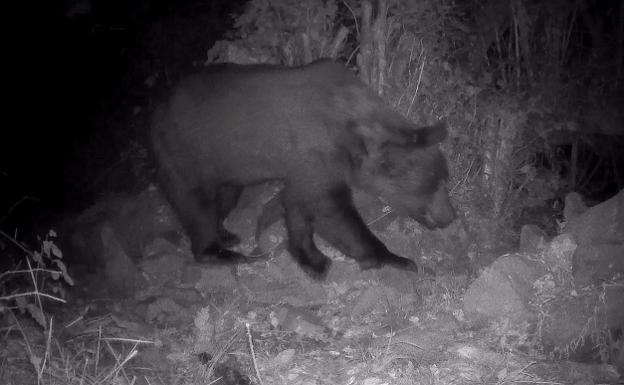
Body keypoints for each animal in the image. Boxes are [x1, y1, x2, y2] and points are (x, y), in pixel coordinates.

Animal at [150, 58, 454, 280]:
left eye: (445, 179)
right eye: (437, 183)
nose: (451, 216)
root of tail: (155, 111)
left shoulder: (305, 167)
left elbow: (298, 205)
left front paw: (311, 259)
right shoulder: (316, 150)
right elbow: (330, 209)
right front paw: (395, 259)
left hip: (224, 166)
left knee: (224, 197)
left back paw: (226, 233)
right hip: (182, 153)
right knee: (195, 203)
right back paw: (219, 252)